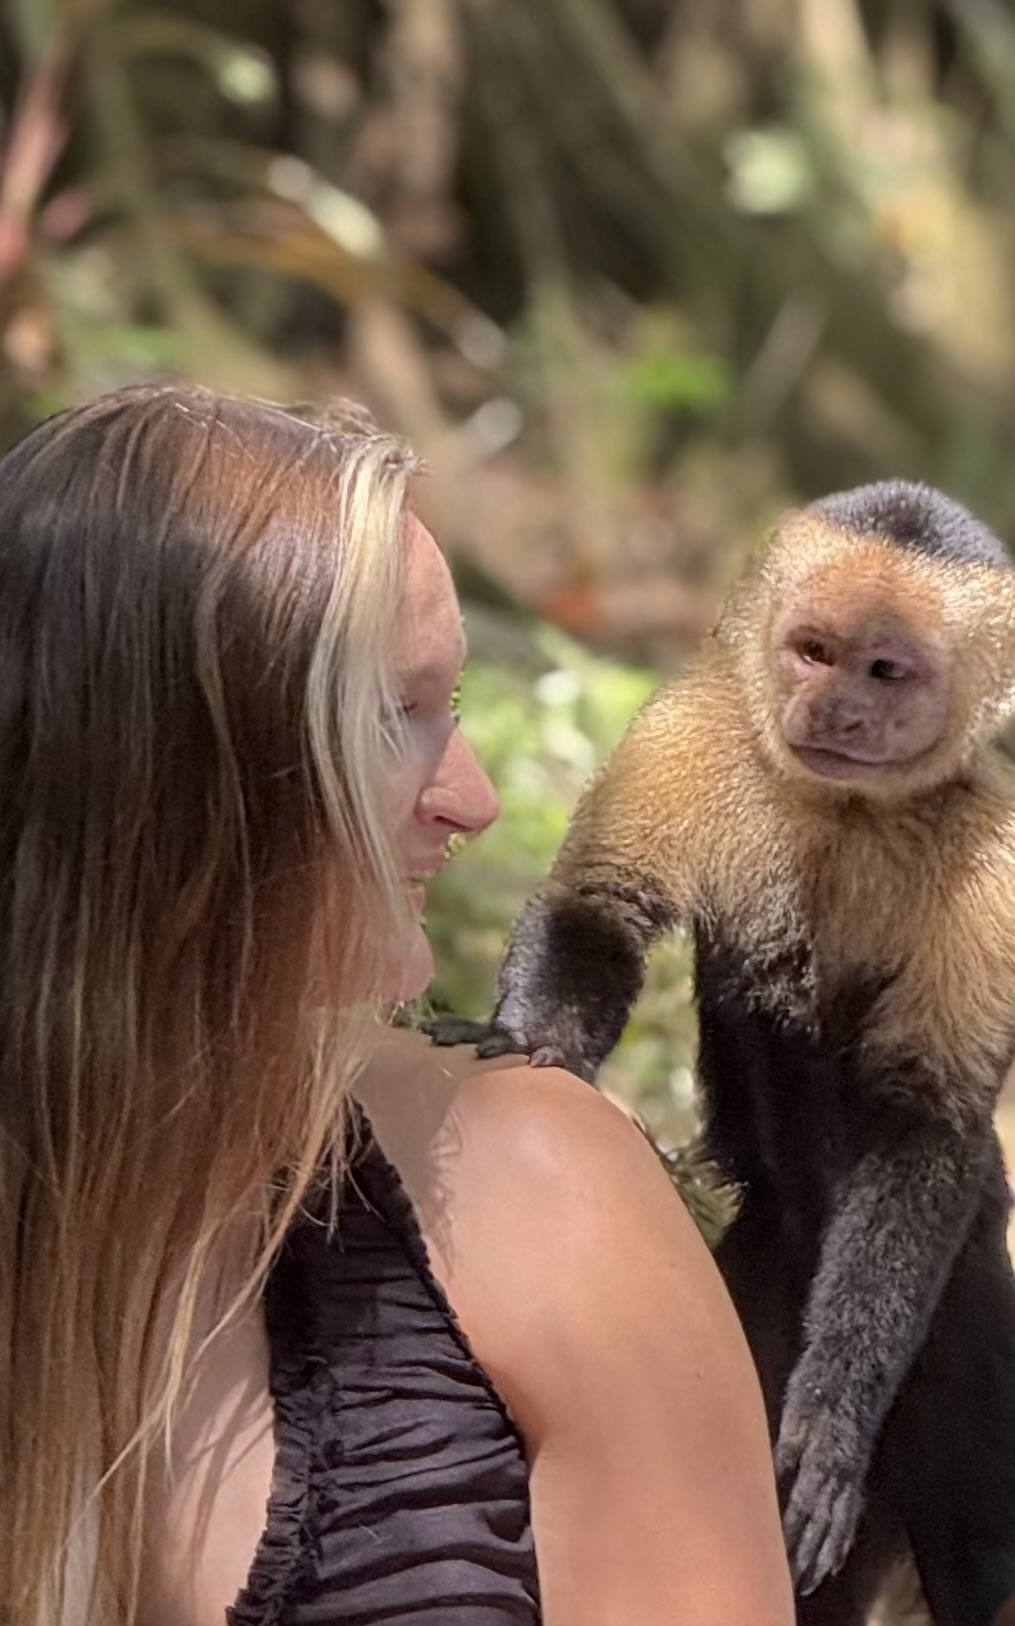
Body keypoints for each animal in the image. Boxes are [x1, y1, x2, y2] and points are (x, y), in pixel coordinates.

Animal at [433, 482, 1015, 1626]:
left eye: (884, 671)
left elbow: (928, 1118)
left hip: (968, 1294)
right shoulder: (692, 727)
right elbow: (597, 905)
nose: (833, 711)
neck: (844, 807)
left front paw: (831, 1417)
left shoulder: (996, 850)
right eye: (813, 650)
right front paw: (532, 1046)